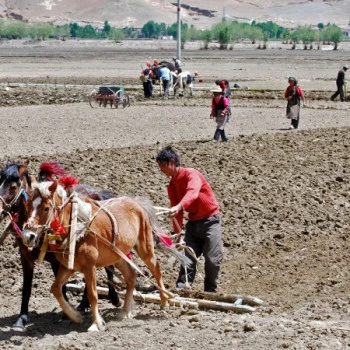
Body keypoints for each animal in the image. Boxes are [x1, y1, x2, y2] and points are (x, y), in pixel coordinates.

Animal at [21, 180, 173, 330]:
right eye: (27, 205)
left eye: (46, 208)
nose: (28, 236)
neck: (76, 229)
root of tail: (136, 202)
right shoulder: (69, 266)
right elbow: (55, 288)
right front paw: (75, 316)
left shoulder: (90, 266)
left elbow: (92, 294)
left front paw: (96, 323)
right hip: (118, 255)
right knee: (131, 277)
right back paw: (125, 312)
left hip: (145, 249)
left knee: (156, 270)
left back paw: (164, 301)